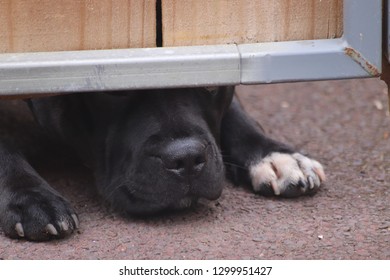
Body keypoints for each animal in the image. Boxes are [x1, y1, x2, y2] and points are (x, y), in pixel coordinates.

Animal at [0, 86, 324, 240]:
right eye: (114, 90)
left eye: (210, 85)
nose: (187, 157)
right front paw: (29, 196)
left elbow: (235, 108)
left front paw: (272, 153)